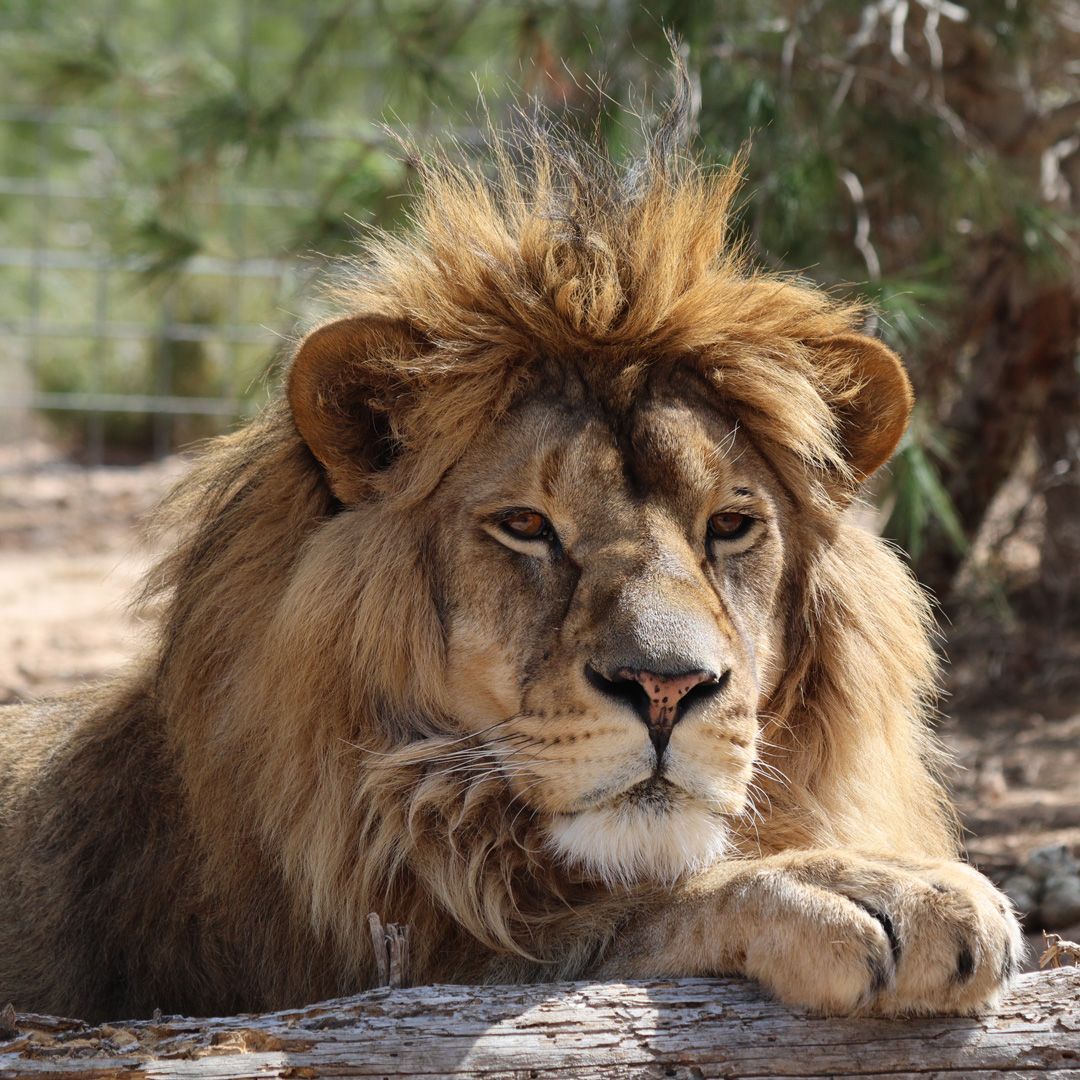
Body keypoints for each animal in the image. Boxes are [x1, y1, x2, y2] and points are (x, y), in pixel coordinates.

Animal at [0, 74, 1022, 1023]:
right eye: (527, 526)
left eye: (730, 525)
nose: (666, 690)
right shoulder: (348, 967)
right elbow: (615, 917)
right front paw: (870, 887)